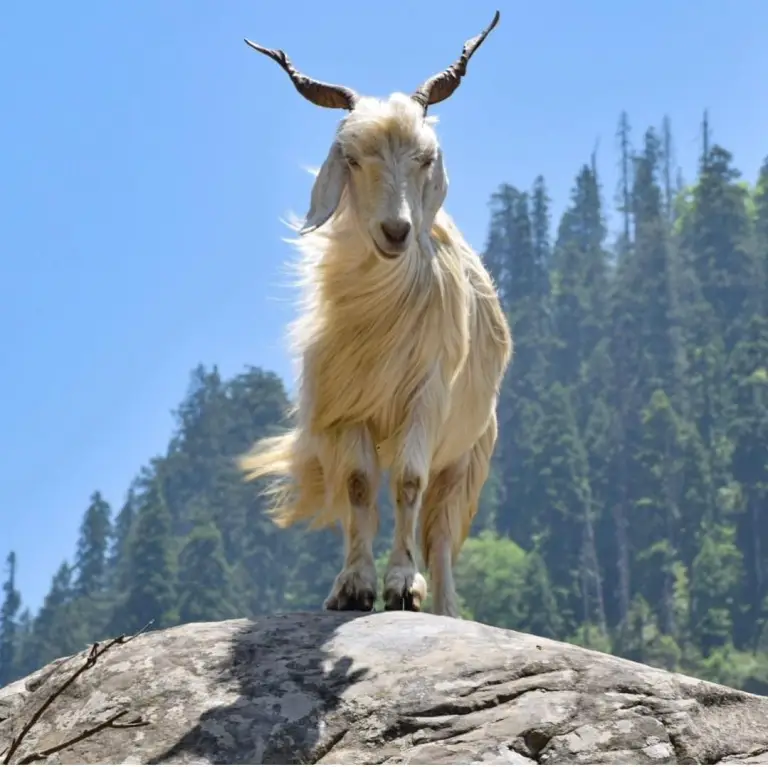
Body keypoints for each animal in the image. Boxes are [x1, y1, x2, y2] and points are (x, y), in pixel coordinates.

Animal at [239, 12, 512, 618]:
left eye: (425, 159)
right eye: (353, 158)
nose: (396, 231)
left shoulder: (425, 397)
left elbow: (407, 484)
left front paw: (403, 587)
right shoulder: (347, 408)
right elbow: (361, 487)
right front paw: (354, 587)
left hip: (468, 455)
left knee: (440, 529)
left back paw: (446, 609)